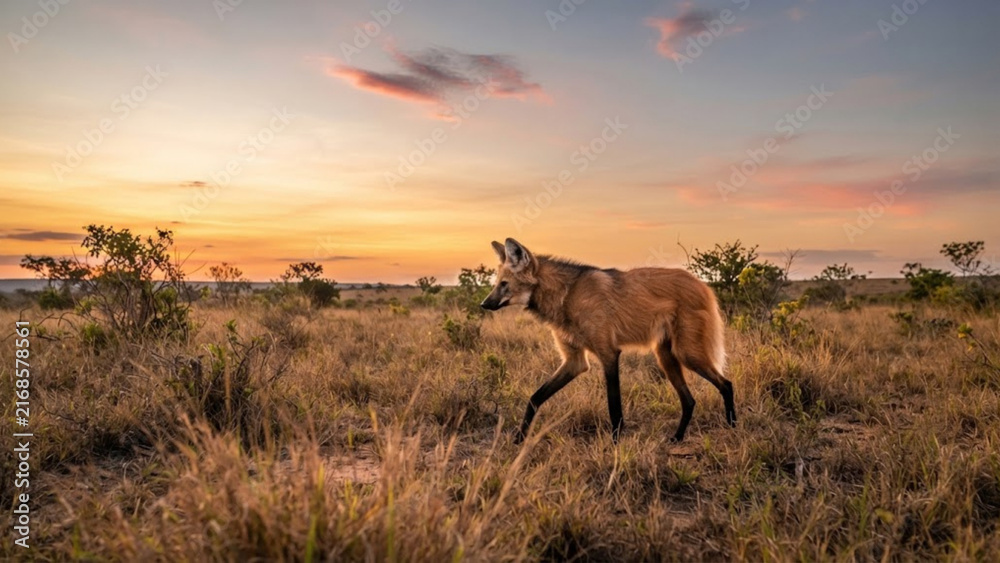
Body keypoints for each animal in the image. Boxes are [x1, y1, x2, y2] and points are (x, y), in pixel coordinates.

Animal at [480, 238, 735, 443]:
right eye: (496, 284)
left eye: (504, 284)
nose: (483, 304)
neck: (567, 296)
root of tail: (702, 285)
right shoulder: (575, 362)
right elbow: (535, 398)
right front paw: (519, 438)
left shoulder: (608, 353)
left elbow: (614, 406)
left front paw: (615, 443)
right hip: (665, 356)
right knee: (689, 400)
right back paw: (677, 438)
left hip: (687, 353)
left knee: (726, 384)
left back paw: (733, 428)